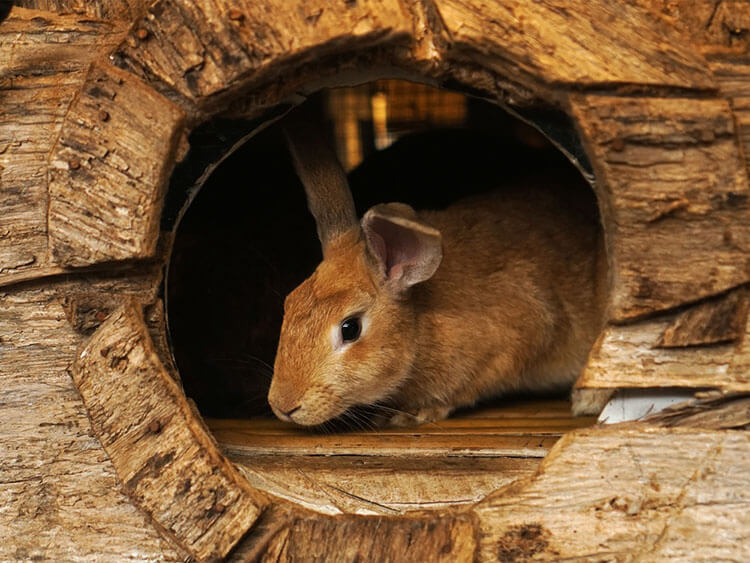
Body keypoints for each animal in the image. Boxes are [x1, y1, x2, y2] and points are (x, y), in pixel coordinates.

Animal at [268, 120, 608, 428]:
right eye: (288, 304)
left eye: (350, 328)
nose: (283, 405)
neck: (421, 317)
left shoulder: (522, 333)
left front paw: (415, 412)